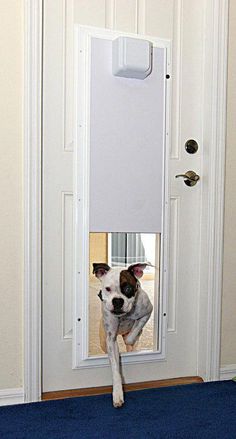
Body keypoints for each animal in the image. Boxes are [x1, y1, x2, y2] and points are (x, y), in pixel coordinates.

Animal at [92, 262, 153, 410]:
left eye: (128, 288)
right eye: (107, 289)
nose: (118, 301)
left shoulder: (148, 311)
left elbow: (134, 332)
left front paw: (133, 333)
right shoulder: (110, 339)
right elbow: (115, 368)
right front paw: (118, 394)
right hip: (103, 340)